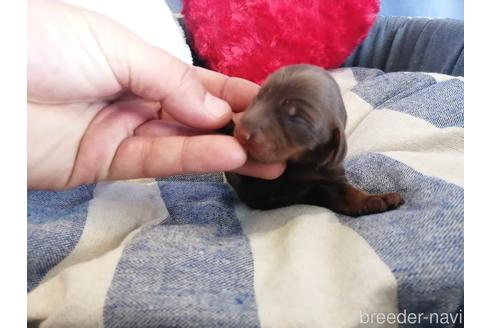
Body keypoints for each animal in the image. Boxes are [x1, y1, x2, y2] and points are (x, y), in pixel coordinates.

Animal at [225, 64, 402, 218]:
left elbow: (348, 195)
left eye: (298, 118)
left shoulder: (325, 181)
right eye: (259, 97)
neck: (297, 165)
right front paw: (225, 124)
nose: (242, 132)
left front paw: (376, 199)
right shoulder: (251, 186)